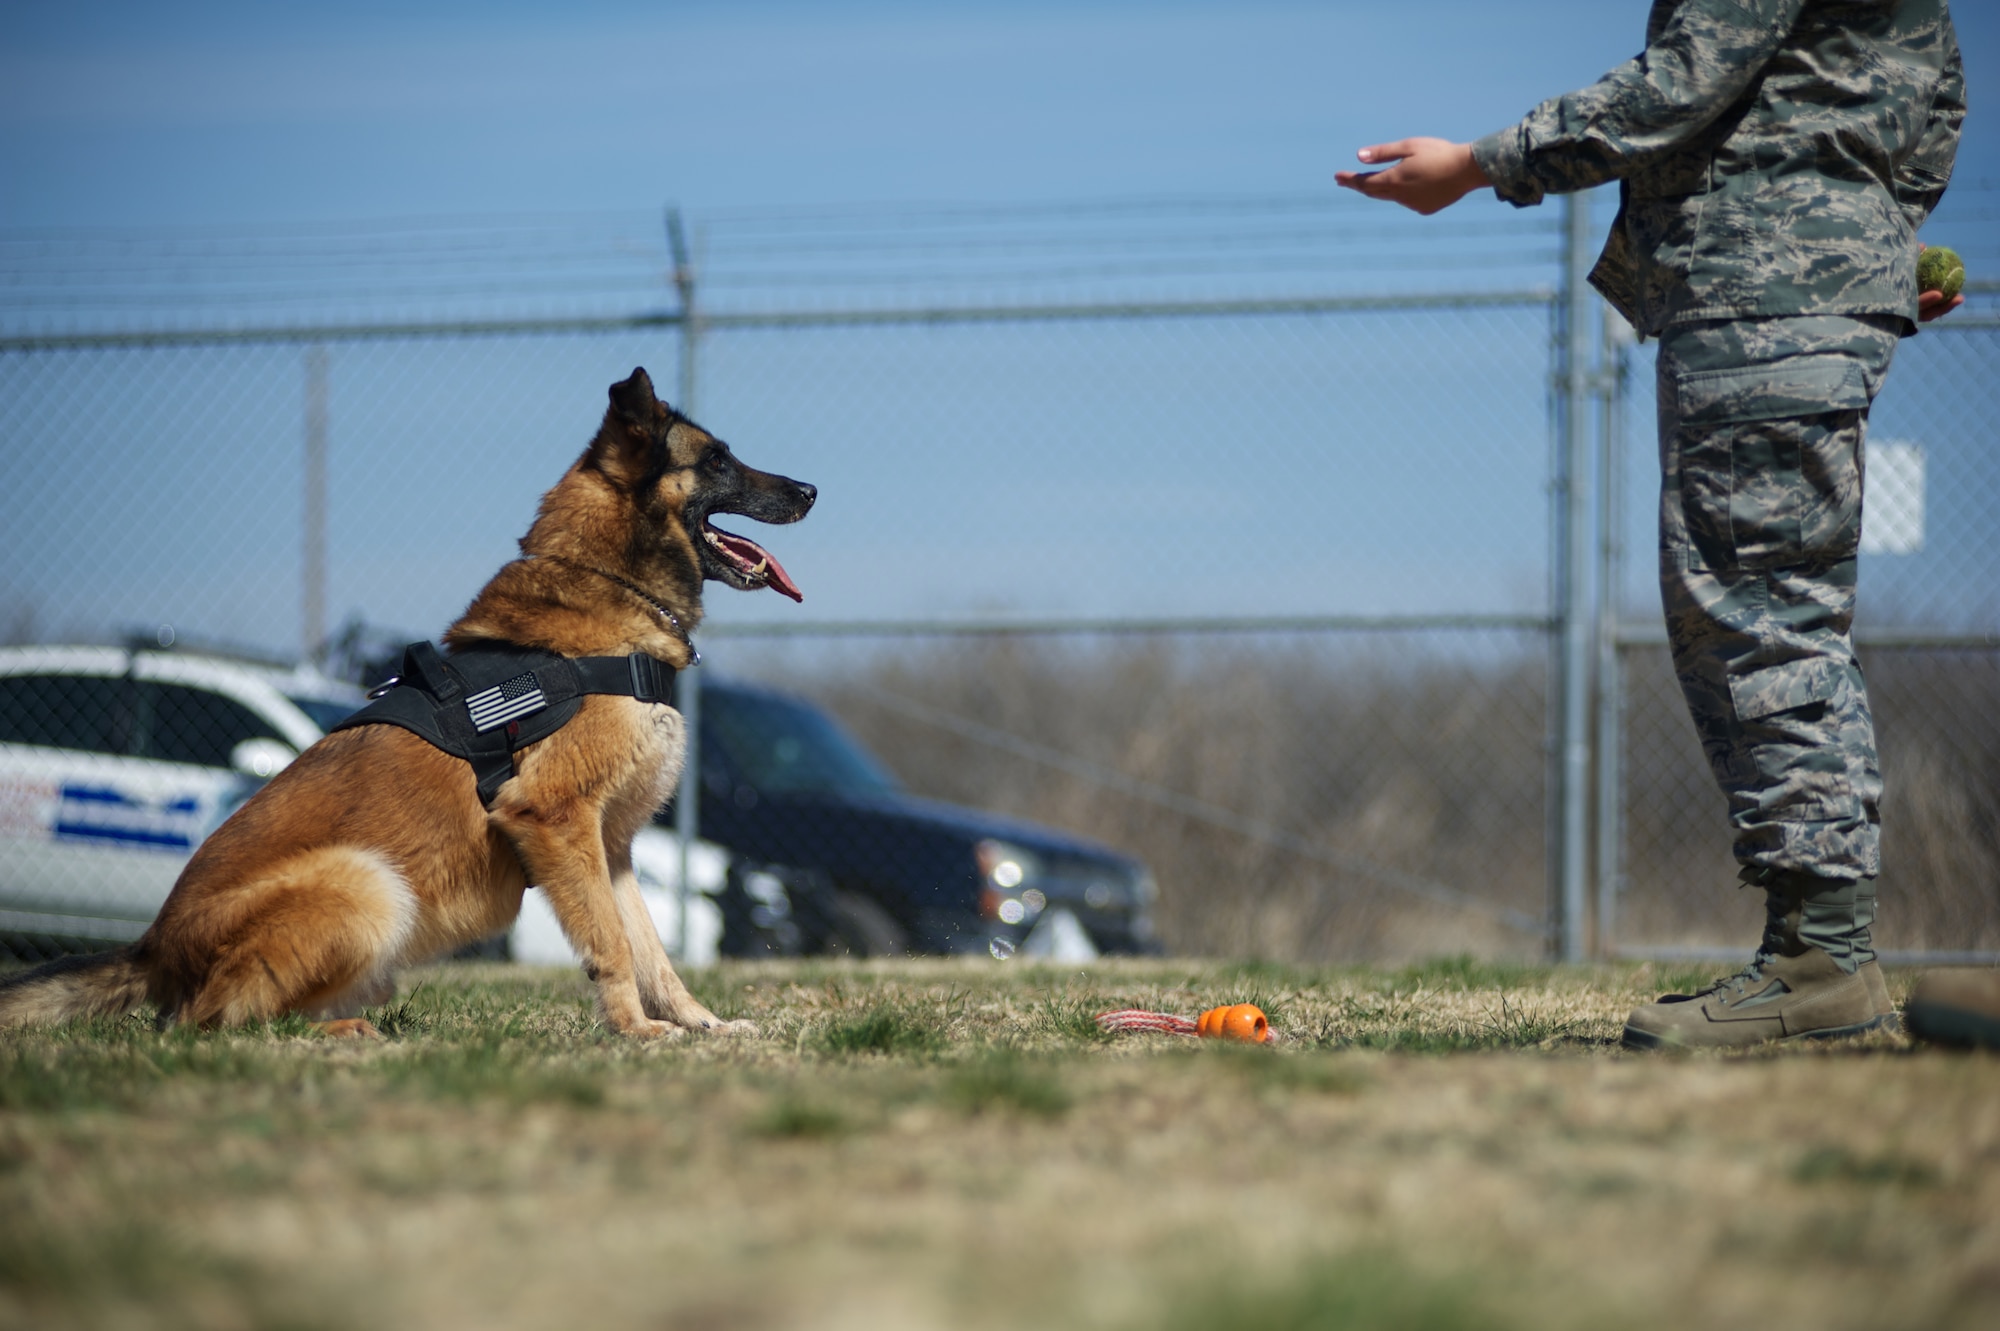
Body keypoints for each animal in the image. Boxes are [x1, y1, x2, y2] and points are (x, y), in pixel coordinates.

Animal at [1, 369, 812, 1039]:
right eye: (717, 461)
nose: (810, 491)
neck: (607, 586)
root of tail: (153, 946)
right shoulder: (556, 819)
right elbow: (611, 945)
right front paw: (637, 1034)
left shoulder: (609, 847)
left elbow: (654, 953)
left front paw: (700, 1024)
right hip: (367, 883)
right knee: (208, 1020)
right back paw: (333, 1034)